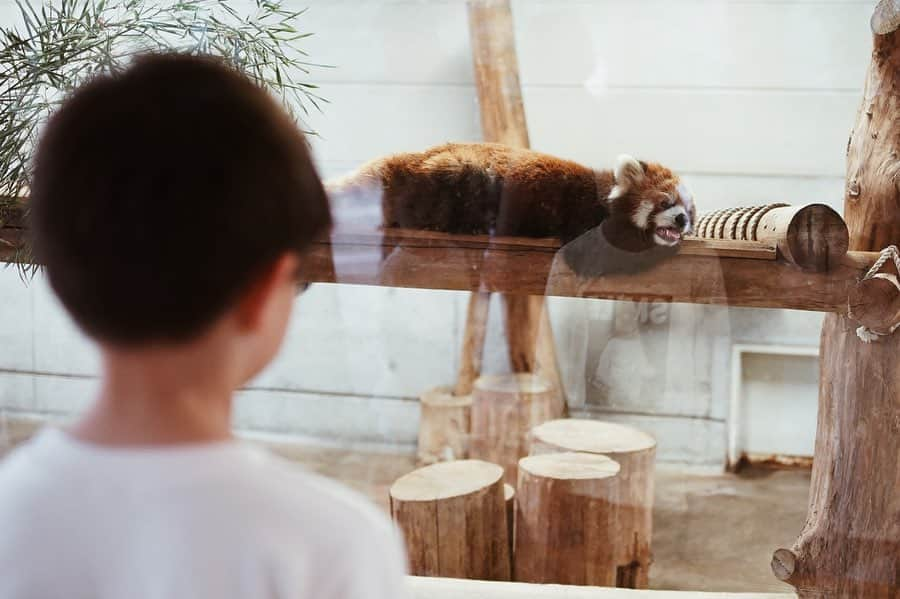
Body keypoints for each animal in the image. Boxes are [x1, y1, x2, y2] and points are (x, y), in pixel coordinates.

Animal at [326, 144, 692, 278]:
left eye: (690, 207)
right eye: (665, 202)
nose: (682, 219)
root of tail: (406, 159)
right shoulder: (581, 216)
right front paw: (661, 249)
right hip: (456, 175)